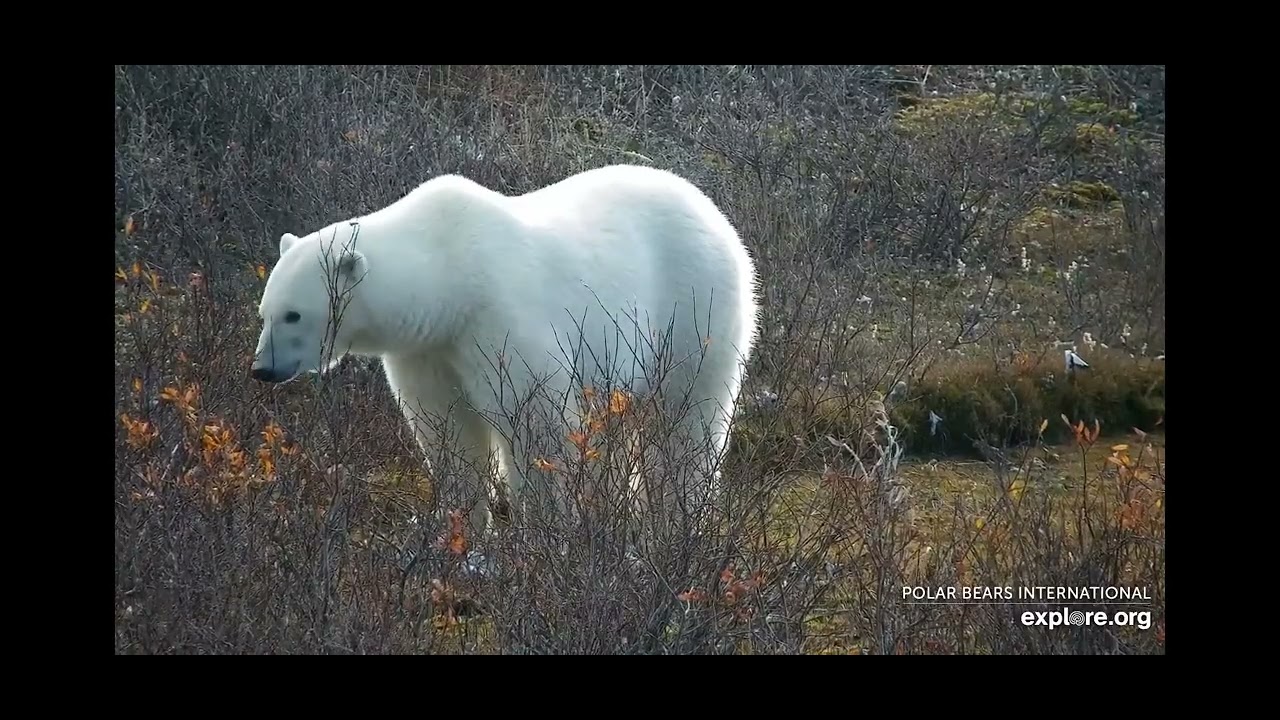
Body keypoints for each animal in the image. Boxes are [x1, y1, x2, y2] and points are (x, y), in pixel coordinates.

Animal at [249, 163, 760, 548]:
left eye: (294, 315)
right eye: (264, 311)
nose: (262, 368)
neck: (448, 273)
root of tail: (713, 211)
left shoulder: (498, 321)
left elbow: (536, 424)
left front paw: (546, 533)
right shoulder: (428, 349)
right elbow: (446, 430)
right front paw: (459, 532)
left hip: (692, 309)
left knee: (686, 420)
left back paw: (678, 518)